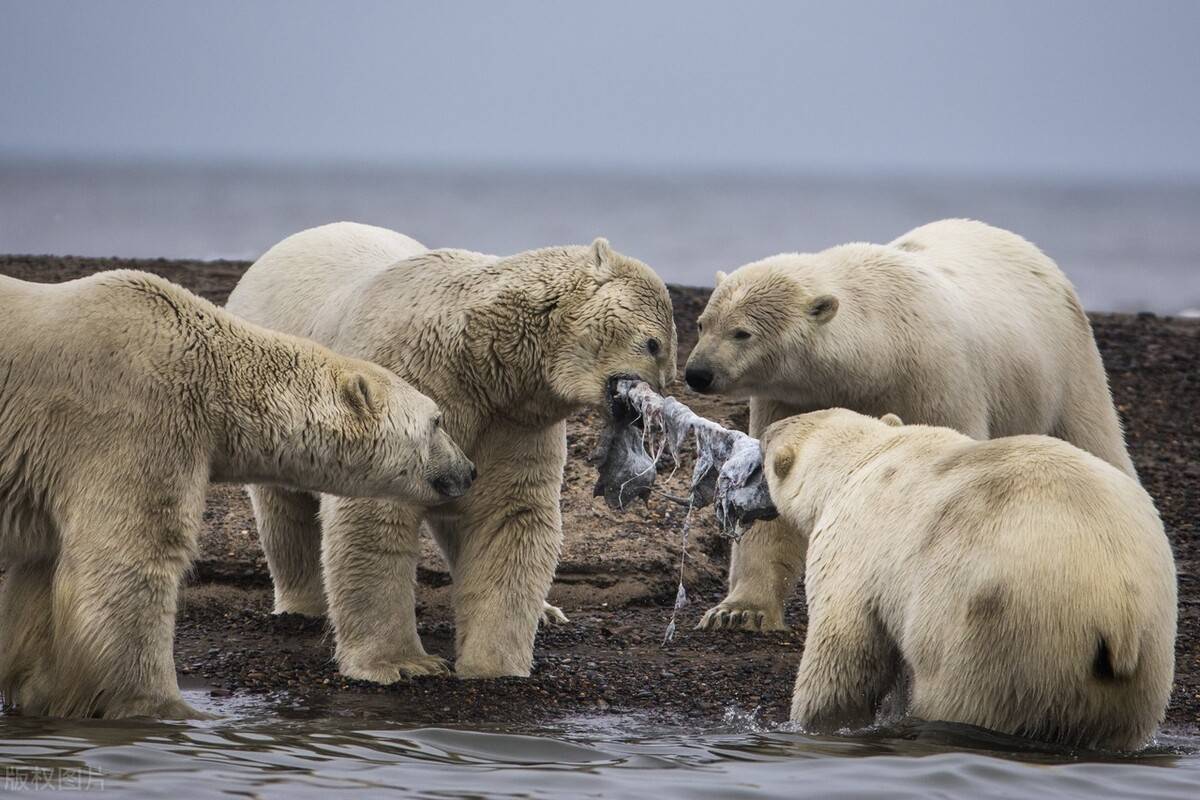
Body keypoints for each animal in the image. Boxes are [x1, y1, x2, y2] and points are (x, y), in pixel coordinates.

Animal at [0, 271, 475, 719]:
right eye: (436, 420)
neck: (211, 375)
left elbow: (42, 574)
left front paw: (41, 691)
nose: (468, 470)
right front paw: (161, 705)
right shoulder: (131, 420)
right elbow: (130, 556)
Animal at [225, 221, 676, 681]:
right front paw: (402, 663)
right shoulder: (407, 377)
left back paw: (548, 612)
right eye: (654, 344)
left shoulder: (513, 420)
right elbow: (375, 512)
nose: (658, 393)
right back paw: (304, 603)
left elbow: (508, 514)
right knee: (285, 510)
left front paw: (494, 664)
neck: (480, 355)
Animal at [691, 217, 1137, 633]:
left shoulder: (931, 379)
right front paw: (737, 611)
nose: (698, 373)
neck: (875, 349)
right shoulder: (792, 396)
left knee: (1094, 439)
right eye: (702, 322)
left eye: (742, 333)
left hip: (1066, 363)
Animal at [763, 410, 1176, 753]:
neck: (868, 457)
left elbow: (843, 654)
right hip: (1141, 661)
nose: (765, 430)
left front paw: (814, 725)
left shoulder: (854, 548)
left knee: (961, 699)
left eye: (769, 447)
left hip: (997, 630)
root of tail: (1120, 611)